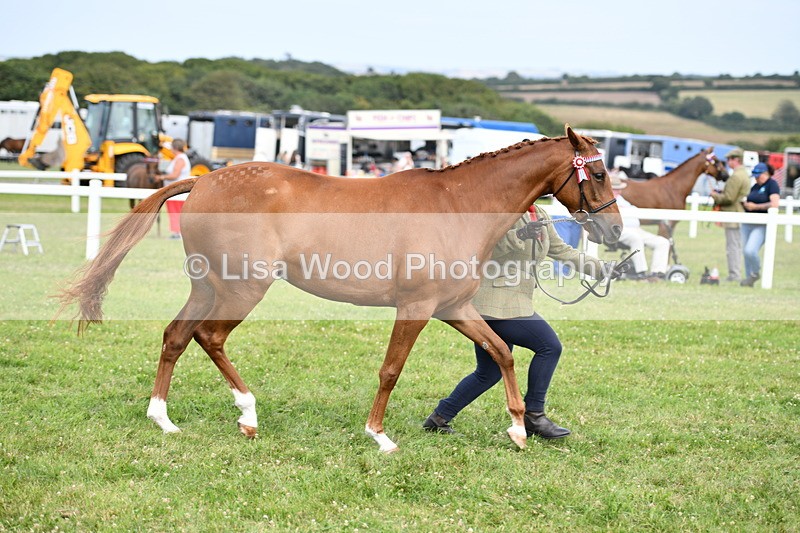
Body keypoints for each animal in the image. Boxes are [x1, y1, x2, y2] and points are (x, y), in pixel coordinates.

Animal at [59, 125, 622, 453]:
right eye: (596, 171)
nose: (615, 231)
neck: (458, 205)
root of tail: (204, 180)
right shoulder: (416, 308)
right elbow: (392, 370)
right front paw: (379, 436)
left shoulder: (455, 308)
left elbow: (502, 351)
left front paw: (519, 429)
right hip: (243, 290)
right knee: (210, 338)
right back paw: (248, 415)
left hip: (207, 287)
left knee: (176, 336)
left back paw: (164, 420)